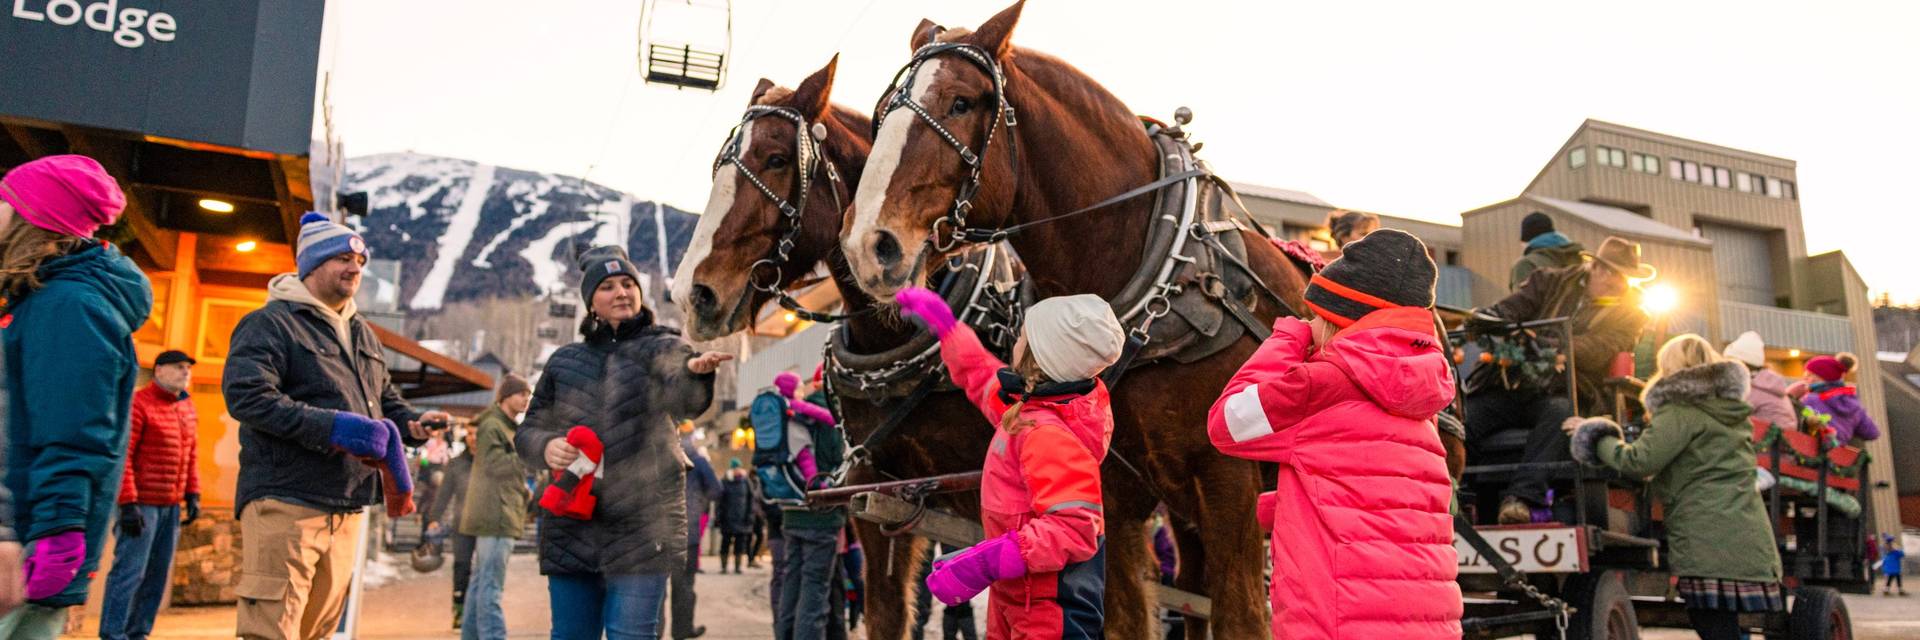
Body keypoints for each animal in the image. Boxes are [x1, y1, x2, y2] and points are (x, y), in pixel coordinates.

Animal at [838, 3, 1317, 638]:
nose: (869, 245)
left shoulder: (1228, 485)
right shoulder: (1110, 492)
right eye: (879, 116)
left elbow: (1242, 616)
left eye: (961, 103)